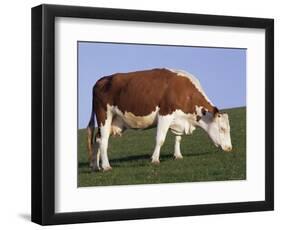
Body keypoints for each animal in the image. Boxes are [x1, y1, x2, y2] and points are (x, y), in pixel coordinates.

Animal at [86, 67, 231, 172]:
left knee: (97, 139)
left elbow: (178, 138)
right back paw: (106, 166)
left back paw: (96, 166)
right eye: (222, 129)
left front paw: (178, 155)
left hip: (114, 120)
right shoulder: (165, 114)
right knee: (103, 141)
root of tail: (101, 80)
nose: (229, 148)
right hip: (104, 116)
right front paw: (155, 159)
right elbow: (160, 139)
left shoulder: (178, 119)